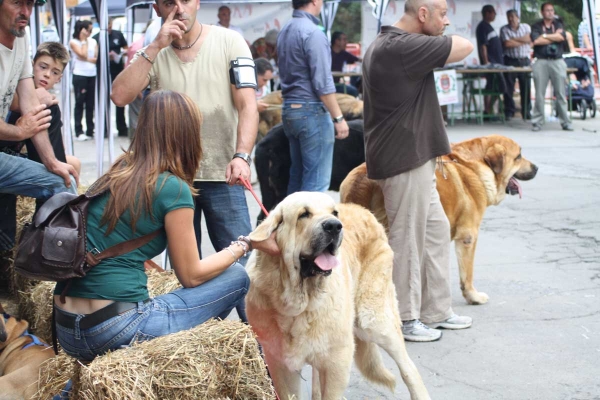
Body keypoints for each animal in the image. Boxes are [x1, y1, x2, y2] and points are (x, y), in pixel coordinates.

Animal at [246, 192, 428, 400]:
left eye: (334, 213)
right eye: (303, 214)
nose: (334, 226)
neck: (300, 305)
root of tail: (364, 210)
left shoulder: (337, 361)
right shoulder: (281, 364)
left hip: (373, 321)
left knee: (409, 368)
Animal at [342, 136, 540, 304]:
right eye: (518, 156)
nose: (537, 168)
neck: (475, 166)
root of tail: (363, 179)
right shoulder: (468, 238)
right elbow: (467, 274)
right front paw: (473, 296)